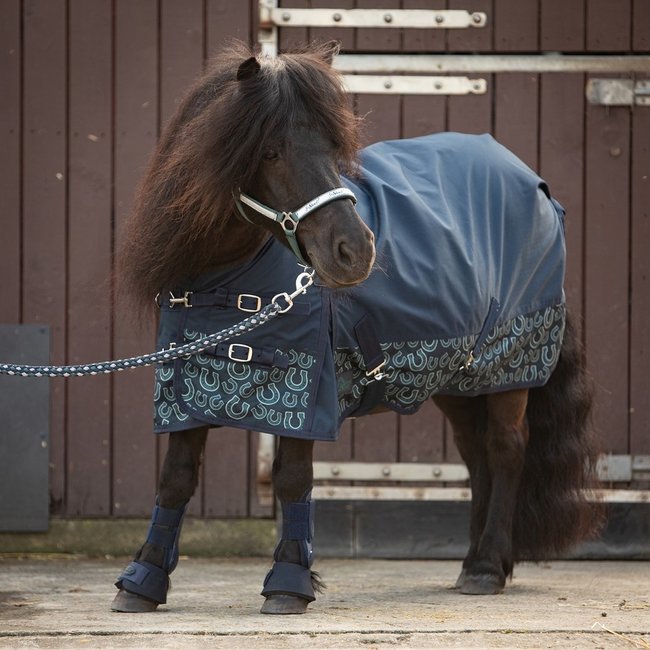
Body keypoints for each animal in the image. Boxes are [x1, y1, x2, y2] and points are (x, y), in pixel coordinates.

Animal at [113, 41, 603, 615]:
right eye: (270, 151)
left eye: (332, 146)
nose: (356, 251)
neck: (224, 279)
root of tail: (537, 186)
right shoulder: (183, 388)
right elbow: (175, 479)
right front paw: (141, 581)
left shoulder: (306, 391)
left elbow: (293, 478)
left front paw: (288, 583)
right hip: (458, 377)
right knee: (476, 452)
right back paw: (478, 562)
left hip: (508, 370)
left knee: (505, 448)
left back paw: (485, 568)